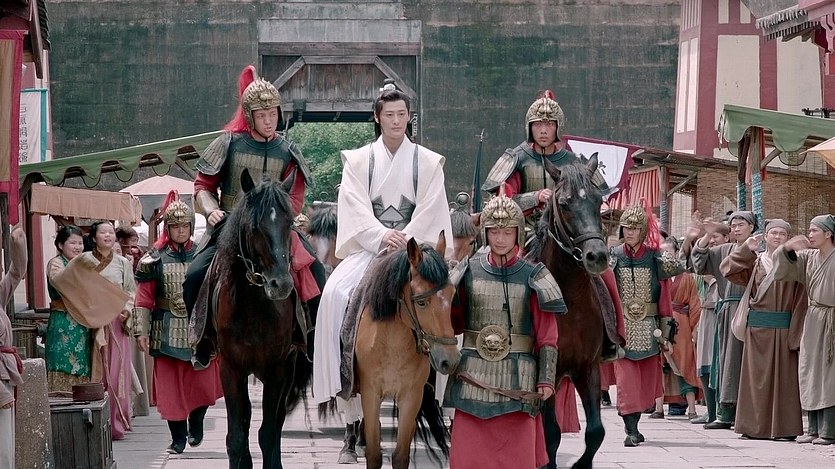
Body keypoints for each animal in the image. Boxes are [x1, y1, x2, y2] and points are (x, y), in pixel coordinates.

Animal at [213, 169, 323, 469]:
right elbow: (235, 436)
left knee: (276, 421)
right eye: (254, 227)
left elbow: (268, 433)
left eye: (289, 224)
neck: (252, 306)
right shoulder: (230, 369)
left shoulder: (277, 369)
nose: (281, 284)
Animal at [353, 233, 460, 469]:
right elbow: (373, 455)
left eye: (452, 295)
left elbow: (401, 456)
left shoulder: (411, 396)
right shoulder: (370, 392)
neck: (392, 345)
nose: (450, 361)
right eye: (421, 302)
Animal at [527, 153, 611, 469]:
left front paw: (581, 465)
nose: (597, 256)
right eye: (564, 204)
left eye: (599, 201)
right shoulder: (547, 372)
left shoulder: (588, 368)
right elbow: (550, 433)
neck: (570, 301)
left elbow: (596, 431)